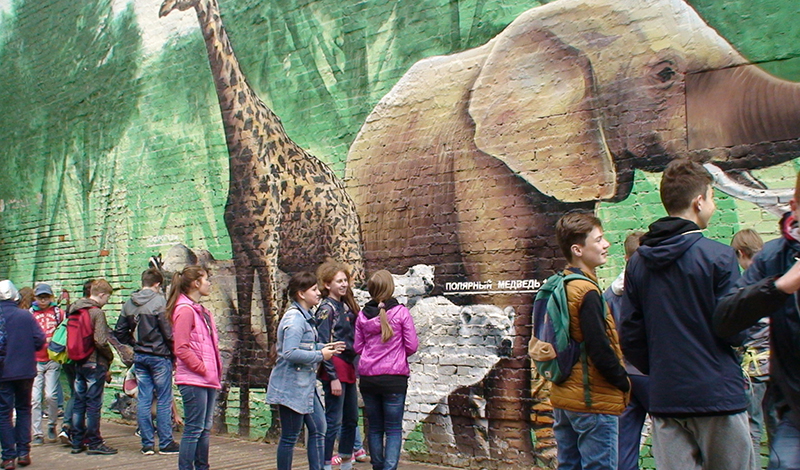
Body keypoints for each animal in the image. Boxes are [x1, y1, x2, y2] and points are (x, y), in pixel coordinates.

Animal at [160, 0, 366, 392]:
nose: (162, 9)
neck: (242, 150)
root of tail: (352, 208)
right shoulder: (242, 250)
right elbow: (246, 326)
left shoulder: (268, 248)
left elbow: (273, 329)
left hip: (345, 252)